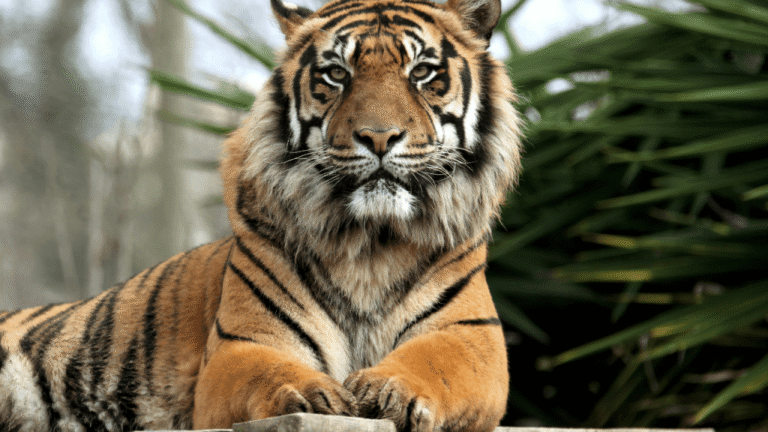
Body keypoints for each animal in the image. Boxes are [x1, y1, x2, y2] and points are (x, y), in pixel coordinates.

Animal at [0, 0, 523, 430]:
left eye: (423, 72)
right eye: (336, 74)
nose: (378, 136)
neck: (371, 243)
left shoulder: (471, 338)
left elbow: (435, 362)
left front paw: (389, 390)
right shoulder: (242, 345)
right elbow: (269, 372)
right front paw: (313, 396)